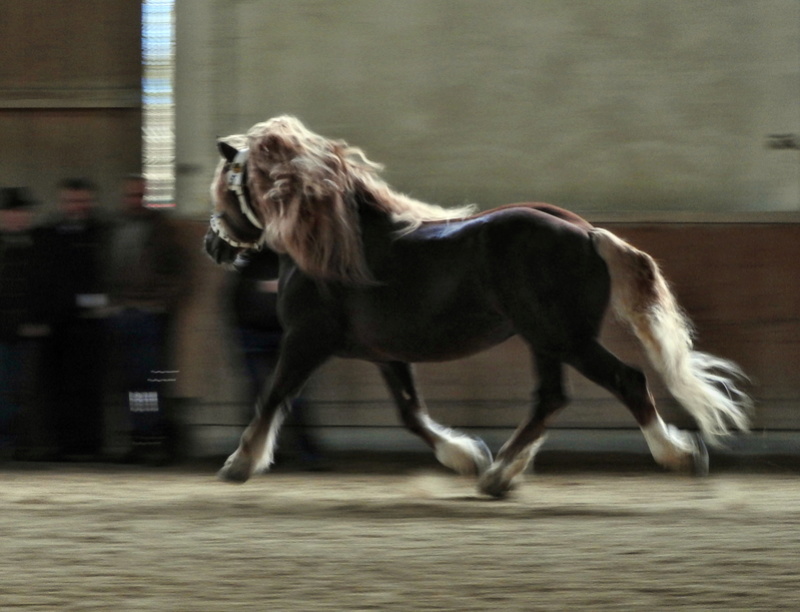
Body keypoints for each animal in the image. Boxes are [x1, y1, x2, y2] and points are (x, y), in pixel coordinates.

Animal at [205, 116, 752, 498]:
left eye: (226, 185)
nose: (213, 247)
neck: (335, 247)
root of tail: (588, 233)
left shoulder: (305, 340)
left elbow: (272, 396)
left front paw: (239, 464)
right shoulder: (386, 354)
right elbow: (411, 413)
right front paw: (465, 455)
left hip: (563, 338)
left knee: (625, 381)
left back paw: (678, 457)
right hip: (546, 341)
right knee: (550, 399)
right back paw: (498, 475)